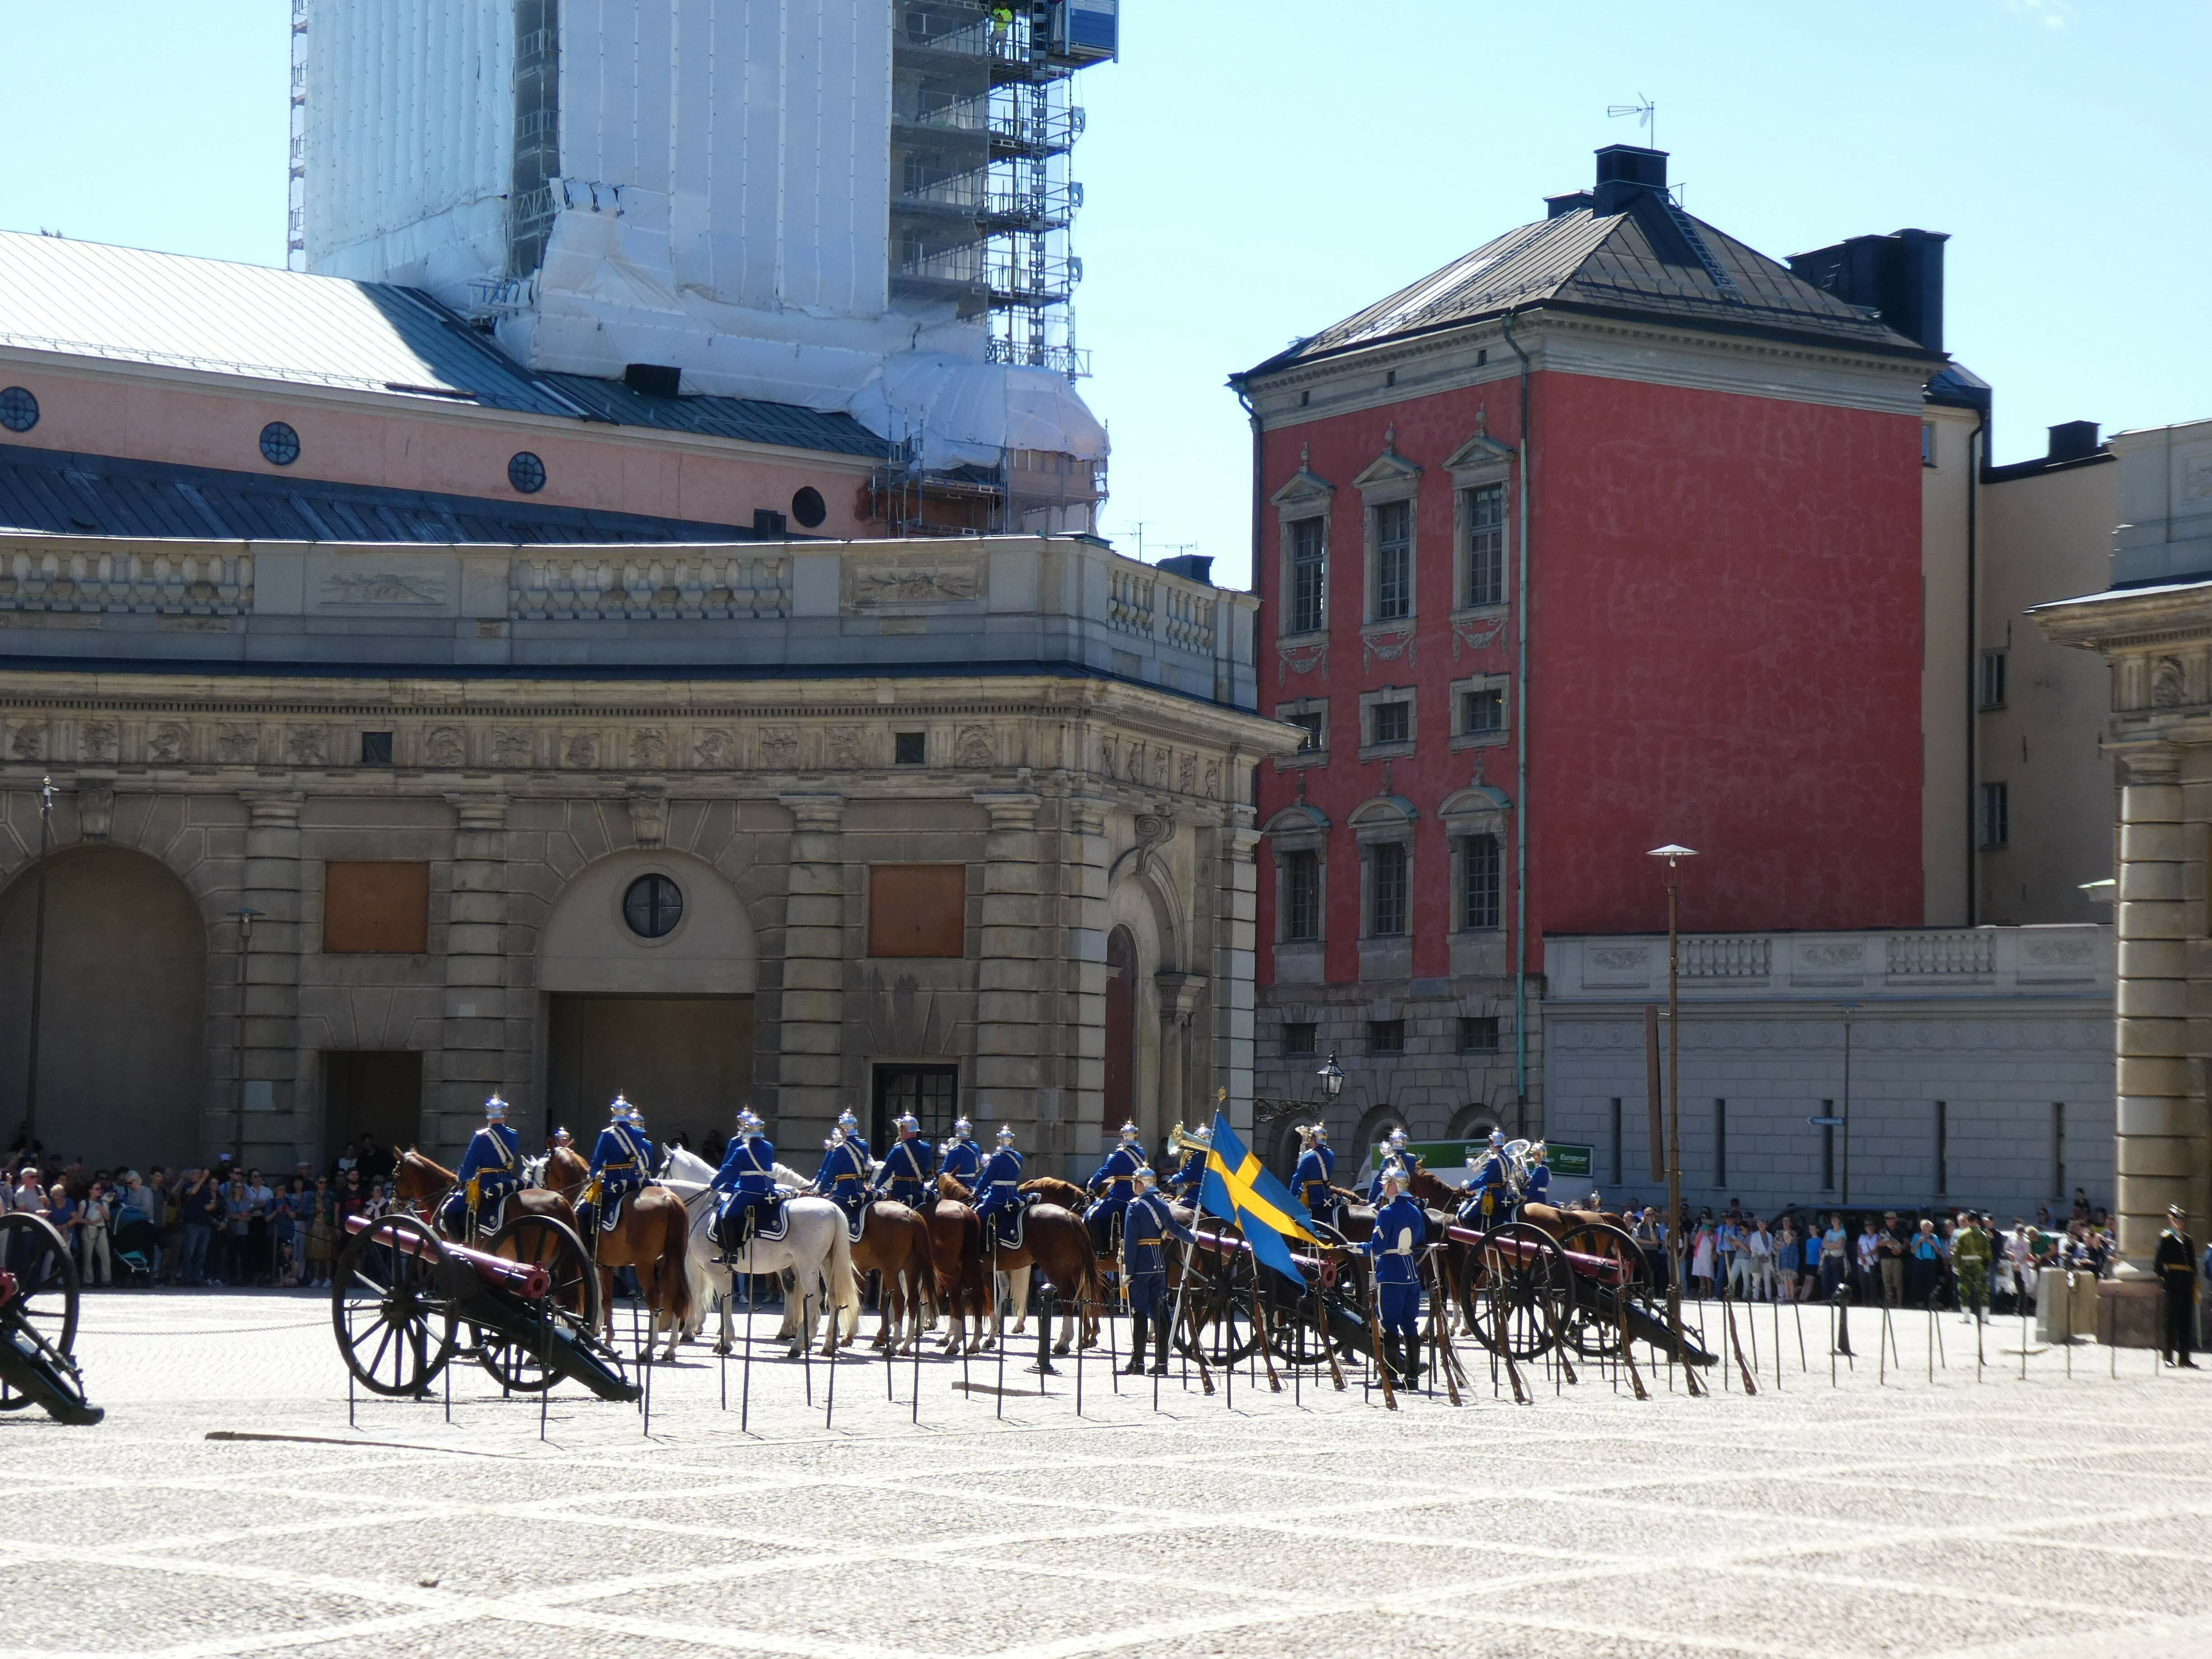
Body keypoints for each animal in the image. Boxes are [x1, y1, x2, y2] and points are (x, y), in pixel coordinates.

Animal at [655, 1150, 853, 1354]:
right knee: (833, 1298)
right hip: (826, 1264)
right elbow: (718, 1298)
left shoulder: (708, 1267)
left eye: (663, 1168)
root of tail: (833, 1208)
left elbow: (713, 1297)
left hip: (808, 1267)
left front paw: (716, 1339)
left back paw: (799, 1344)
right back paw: (827, 1344)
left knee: (814, 1300)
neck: (702, 1209)